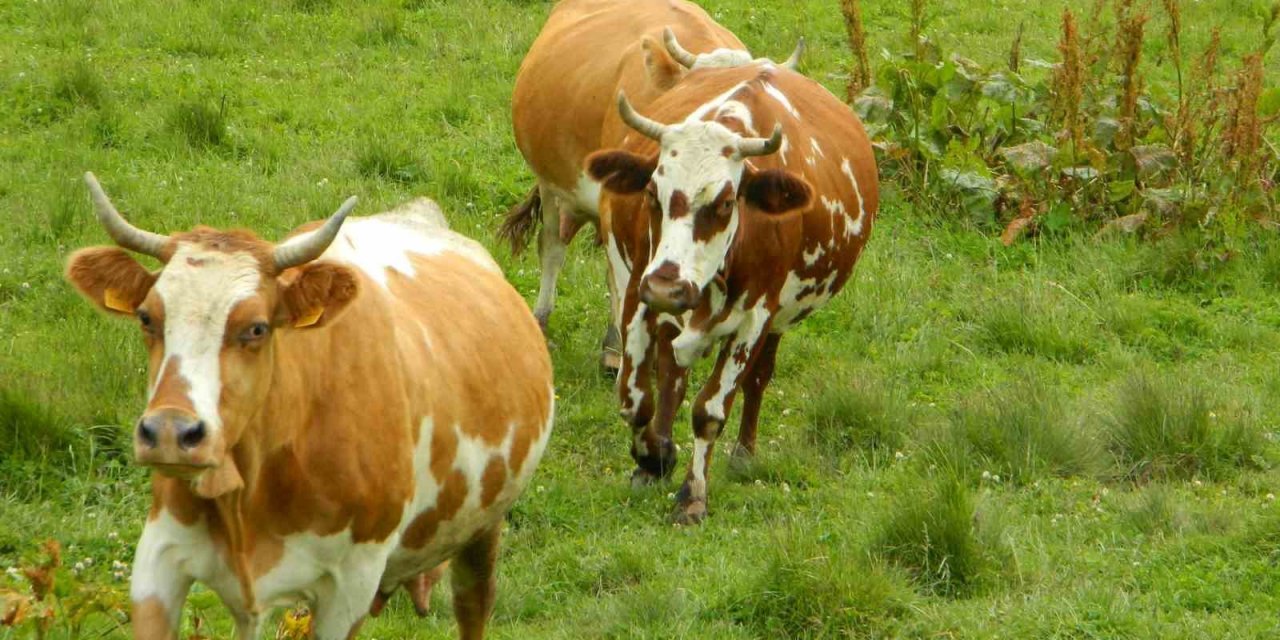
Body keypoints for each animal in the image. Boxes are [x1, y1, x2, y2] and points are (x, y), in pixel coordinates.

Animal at [64, 172, 555, 637]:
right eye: (147, 318)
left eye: (257, 328)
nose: (169, 432)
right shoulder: (159, 557)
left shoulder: (351, 586)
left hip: (484, 527)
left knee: (474, 604)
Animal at [586, 61, 880, 524]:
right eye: (652, 192)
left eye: (725, 203)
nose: (668, 287)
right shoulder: (638, 294)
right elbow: (636, 399)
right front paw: (652, 459)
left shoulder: (755, 317)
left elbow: (710, 411)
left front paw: (692, 496)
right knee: (672, 375)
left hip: (778, 319)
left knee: (758, 377)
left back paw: (744, 454)